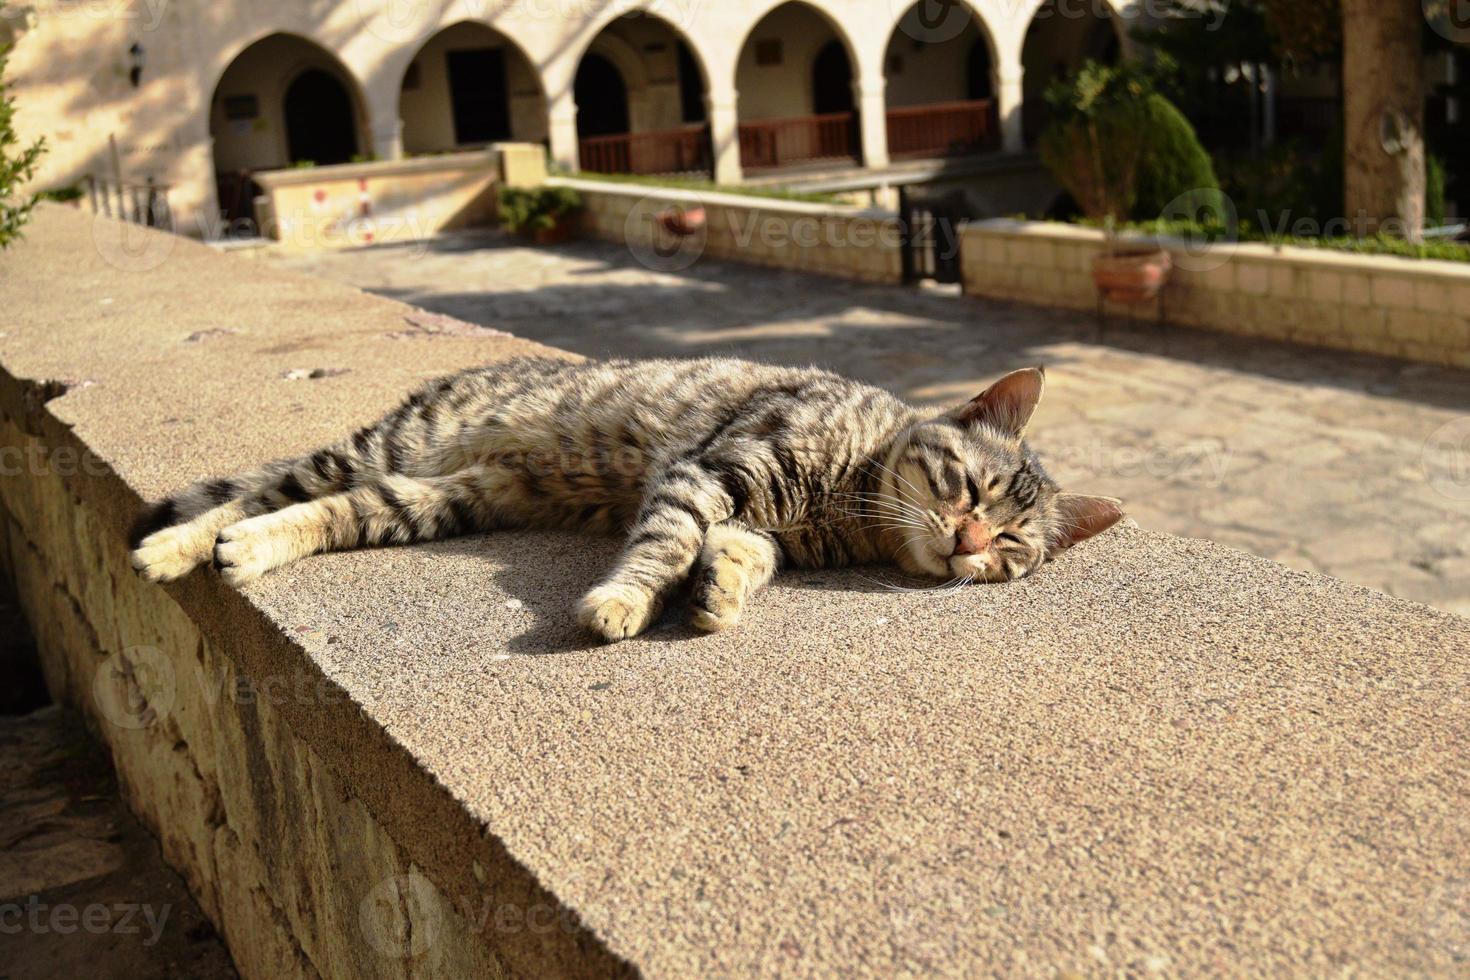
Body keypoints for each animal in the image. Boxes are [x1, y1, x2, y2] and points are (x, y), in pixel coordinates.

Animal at [135, 359, 1123, 643]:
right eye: (972, 488)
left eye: (1012, 547)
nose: (968, 542)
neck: (850, 508)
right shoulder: (712, 470)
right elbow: (664, 544)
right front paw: (623, 601)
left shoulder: (760, 524)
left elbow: (737, 555)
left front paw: (718, 595)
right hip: (391, 445)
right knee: (256, 490)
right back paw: (178, 545)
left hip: (438, 497)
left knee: (327, 510)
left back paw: (247, 548)